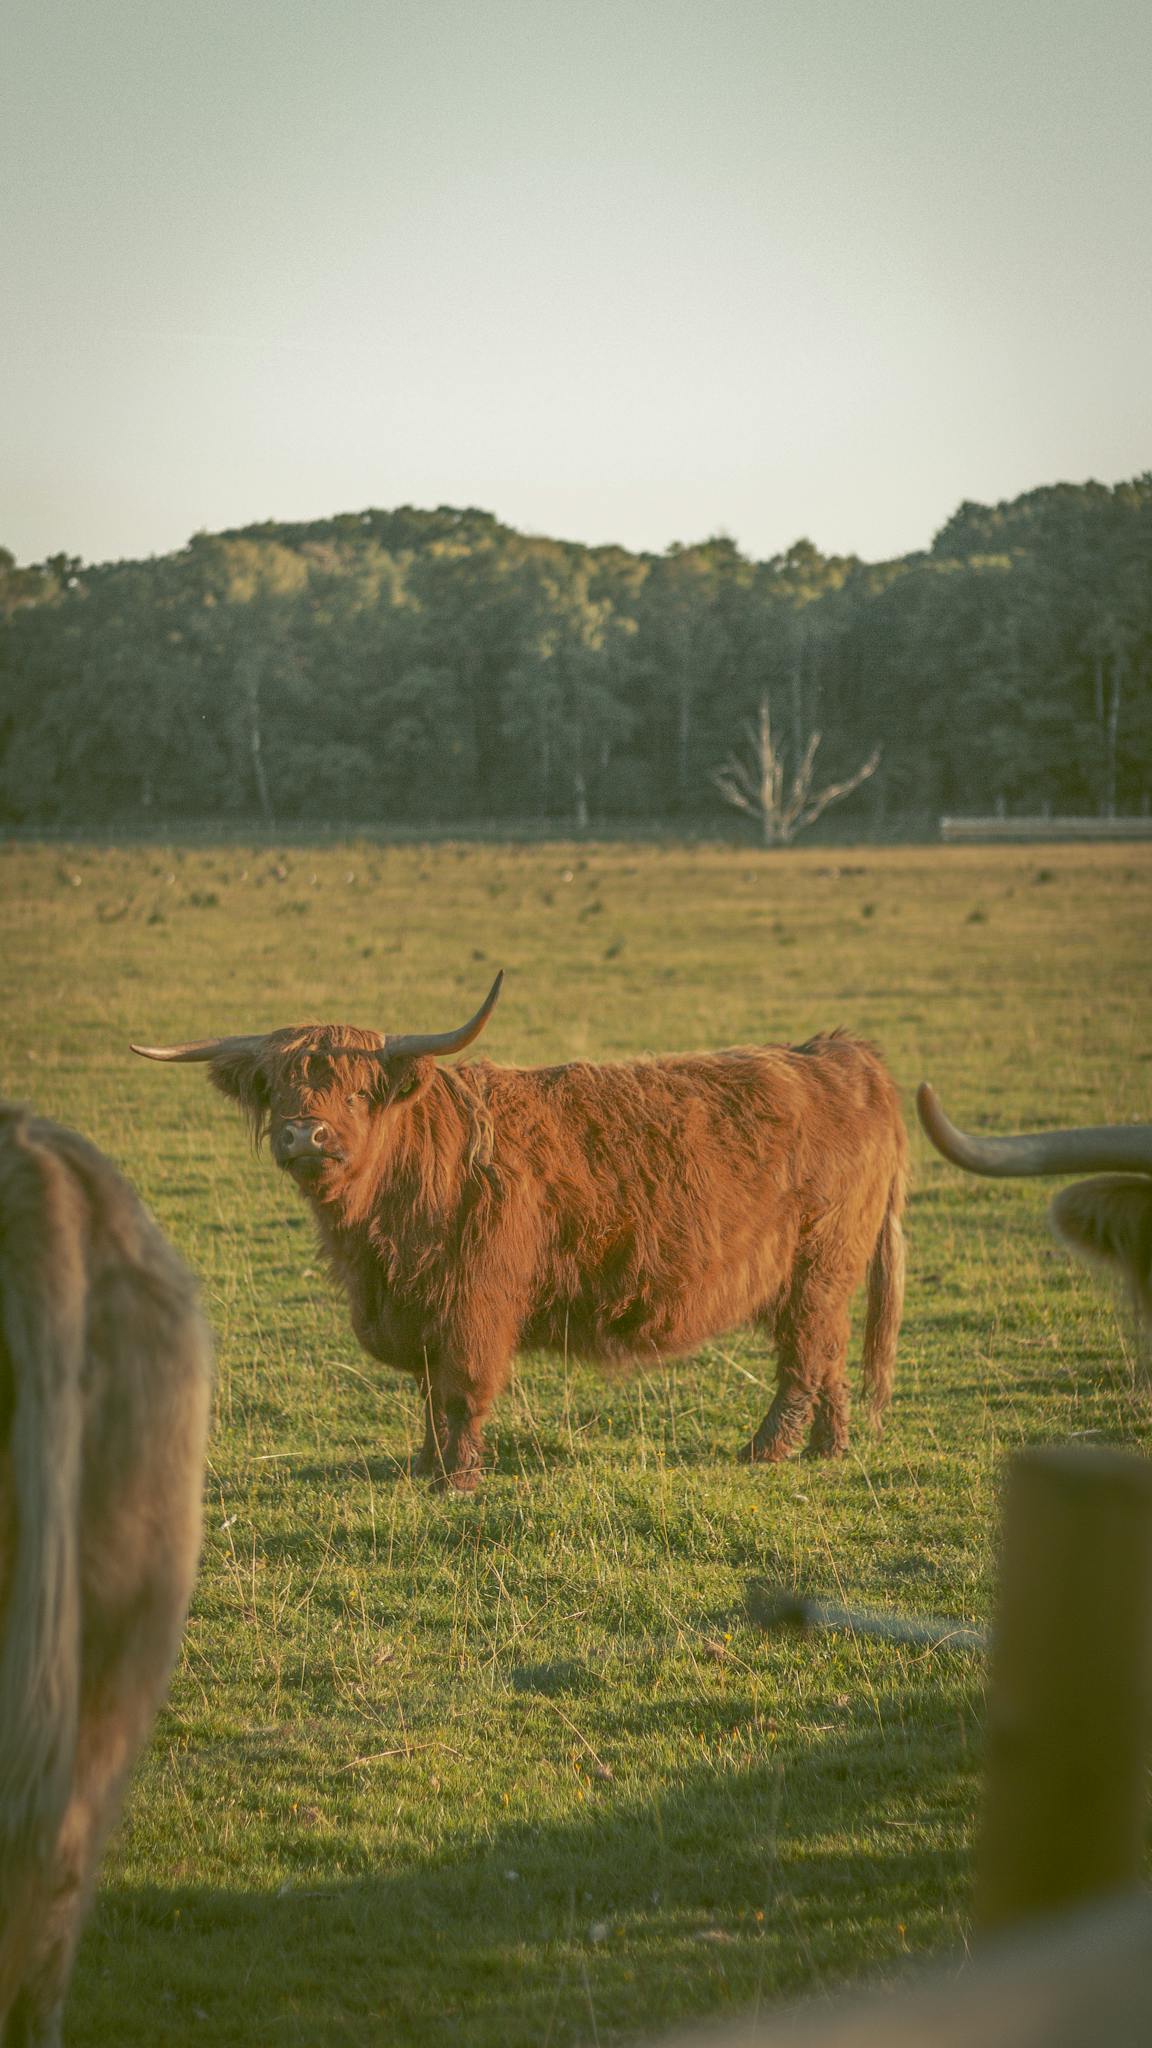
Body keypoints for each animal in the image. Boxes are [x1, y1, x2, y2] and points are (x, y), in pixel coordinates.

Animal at [132, 974, 907, 1490]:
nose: (304, 1134)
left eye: (355, 1093)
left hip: (815, 1266)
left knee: (805, 1359)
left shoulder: (475, 1302)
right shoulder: (418, 1310)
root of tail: (835, 1053)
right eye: (278, 1092)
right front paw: (426, 1464)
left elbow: (461, 1392)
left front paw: (457, 1479)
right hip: (825, 1278)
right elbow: (428, 1395)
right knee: (831, 1357)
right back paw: (828, 1449)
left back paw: (767, 1450)